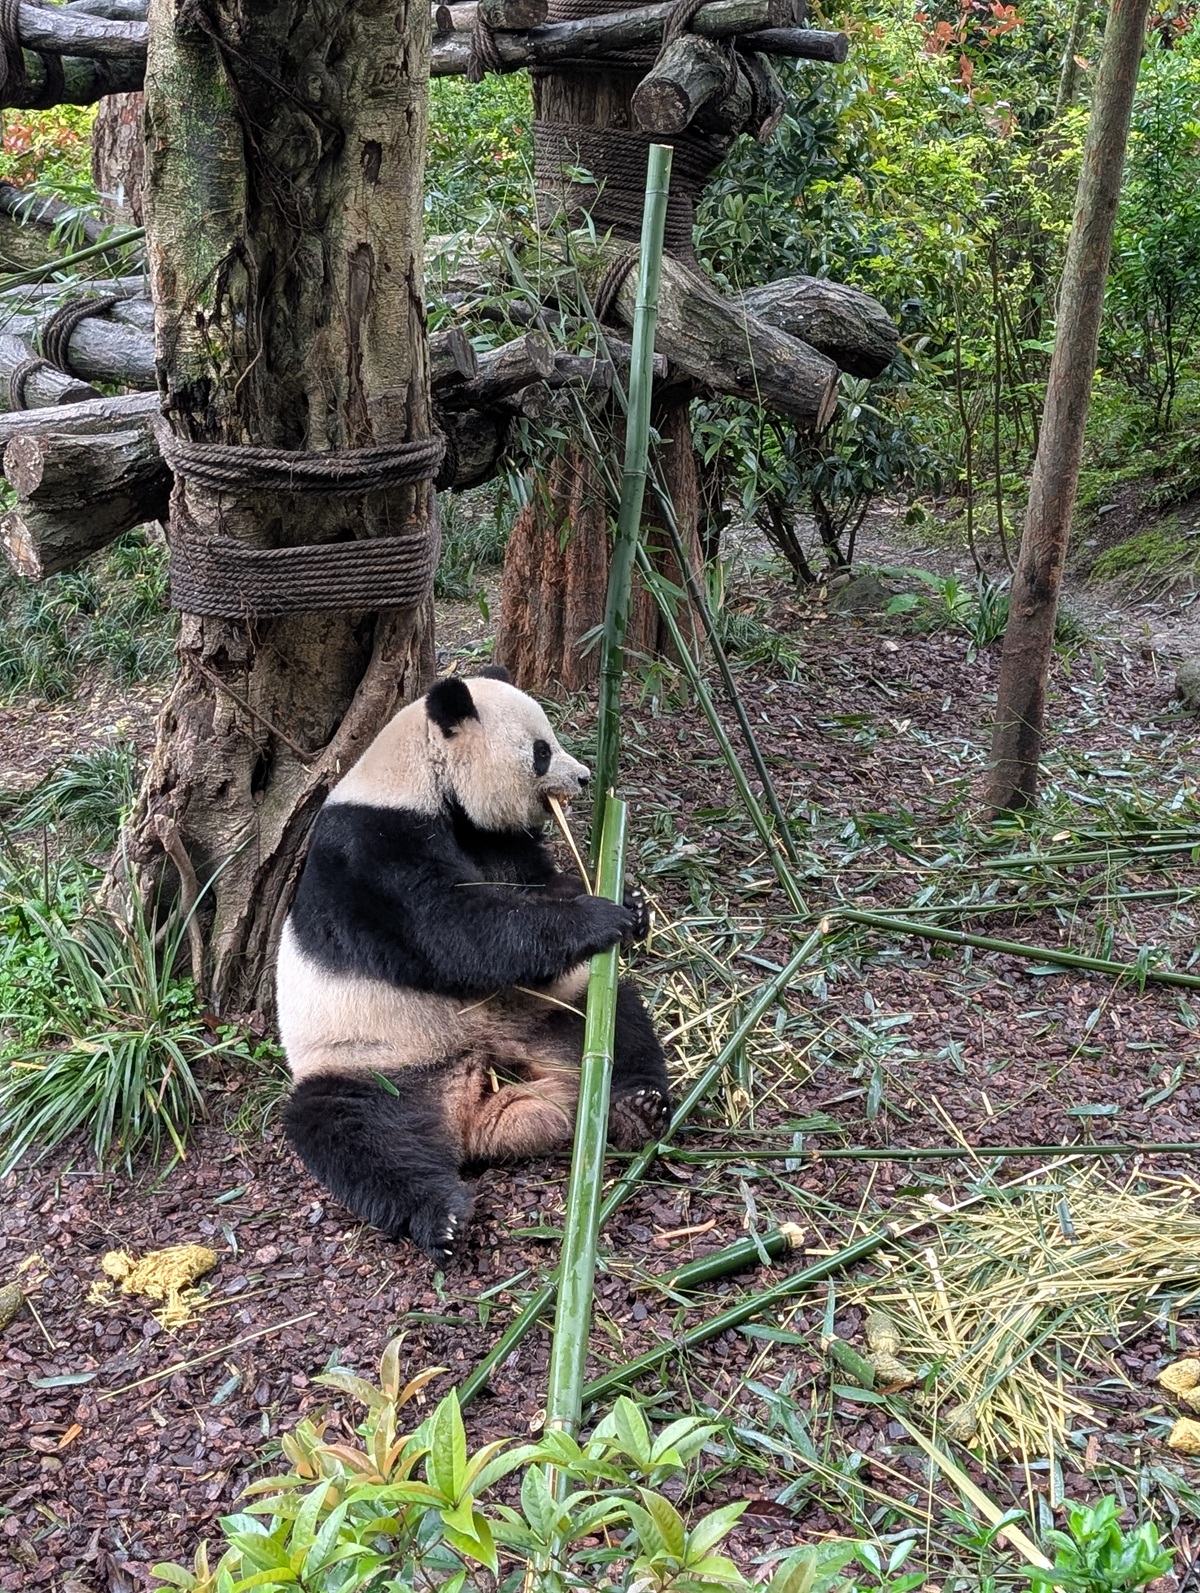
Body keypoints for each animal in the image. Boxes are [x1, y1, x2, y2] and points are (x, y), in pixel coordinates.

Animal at [276, 666, 671, 1264]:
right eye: (540, 750)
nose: (582, 778)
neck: (418, 780)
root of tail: (470, 1110)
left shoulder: (491, 840)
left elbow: (531, 891)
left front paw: (632, 903)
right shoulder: (372, 849)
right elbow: (452, 930)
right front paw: (599, 916)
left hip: (547, 1015)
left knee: (617, 1021)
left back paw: (635, 1109)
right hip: (371, 1062)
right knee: (354, 1132)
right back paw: (439, 1215)